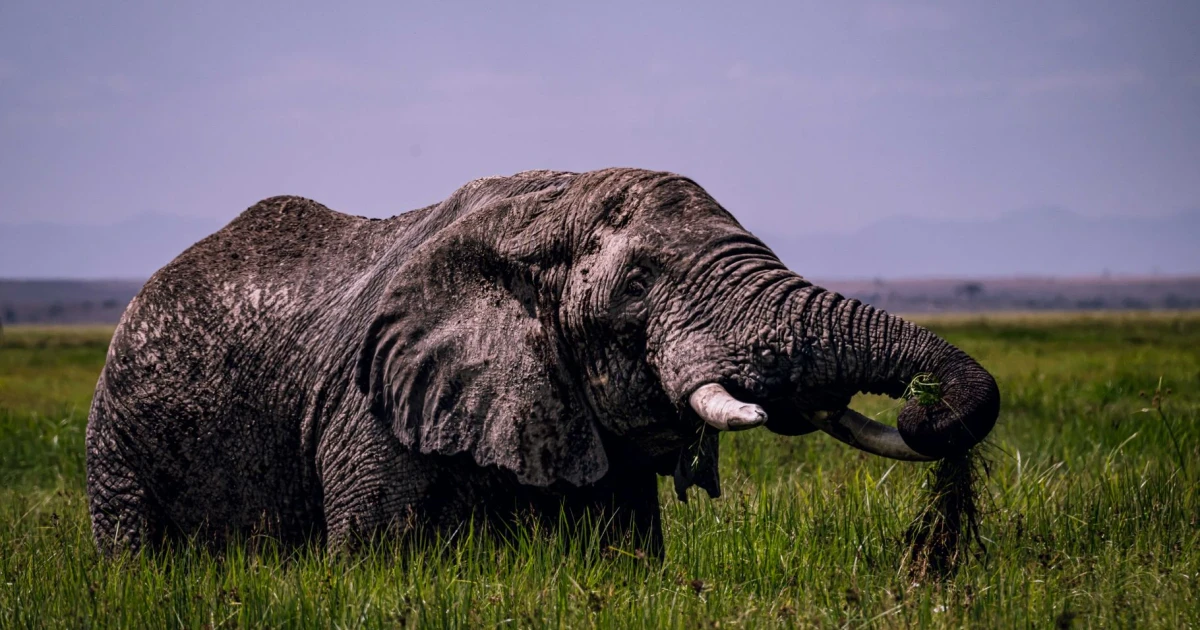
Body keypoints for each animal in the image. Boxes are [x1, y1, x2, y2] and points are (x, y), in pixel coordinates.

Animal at [86, 168, 1000, 557]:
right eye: (637, 286)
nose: (923, 407)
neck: (551, 206)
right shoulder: (369, 413)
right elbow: (376, 554)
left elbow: (620, 548)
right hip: (117, 436)